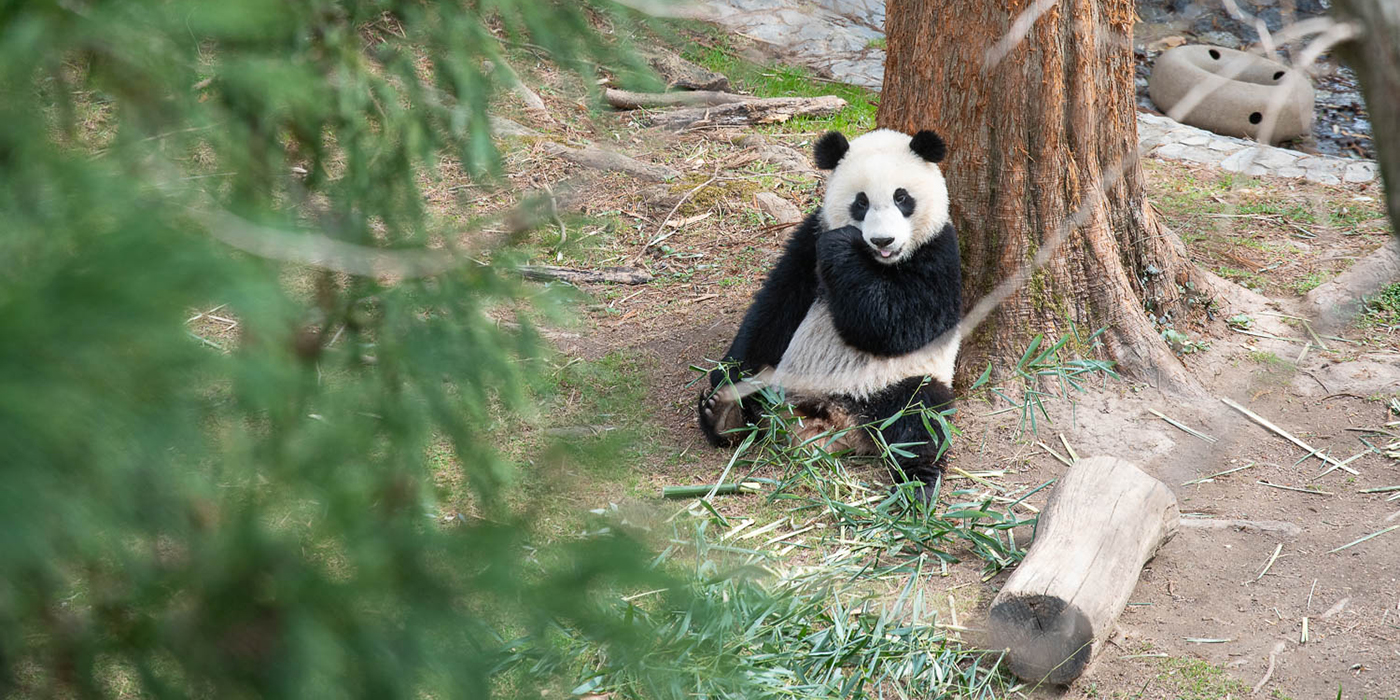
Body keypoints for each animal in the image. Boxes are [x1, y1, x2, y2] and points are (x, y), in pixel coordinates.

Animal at [697, 126, 963, 498]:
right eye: (861, 202)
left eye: (902, 198)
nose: (883, 241)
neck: (879, 264)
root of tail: (835, 420)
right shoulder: (809, 238)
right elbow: (775, 306)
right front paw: (725, 373)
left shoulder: (939, 251)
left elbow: (901, 325)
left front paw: (844, 248)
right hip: (777, 380)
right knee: (755, 397)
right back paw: (724, 413)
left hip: (897, 383)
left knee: (920, 416)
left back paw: (917, 483)